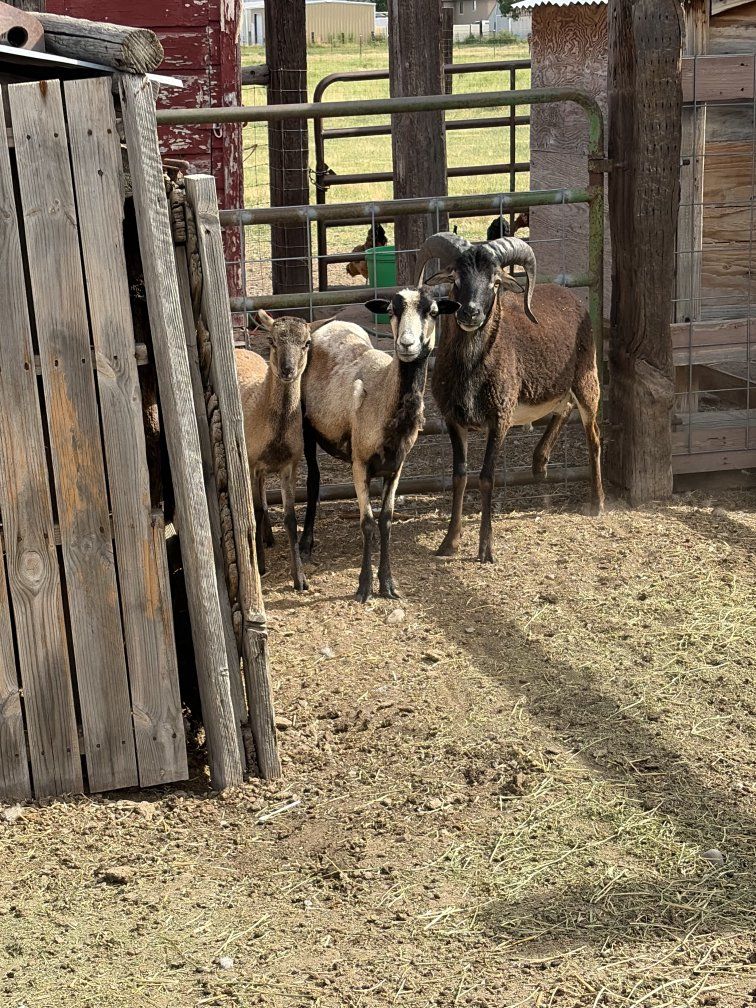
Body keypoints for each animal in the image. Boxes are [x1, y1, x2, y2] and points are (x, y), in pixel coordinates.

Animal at [236, 310, 311, 591]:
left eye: (306, 343)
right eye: (272, 340)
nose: (287, 370)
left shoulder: (290, 464)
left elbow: (290, 519)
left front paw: (300, 578)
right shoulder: (250, 461)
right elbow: (254, 512)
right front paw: (260, 565)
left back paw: (268, 537)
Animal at [299, 289, 459, 602]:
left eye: (433, 312)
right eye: (391, 311)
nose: (406, 344)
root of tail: (332, 323)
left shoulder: (397, 467)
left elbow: (385, 520)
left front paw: (387, 584)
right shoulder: (359, 462)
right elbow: (367, 522)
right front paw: (363, 587)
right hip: (306, 428)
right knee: (313, 481)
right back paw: (306, 543)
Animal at [415, 231, 604, 564]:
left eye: (495, 282)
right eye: (456, 277)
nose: (470, 312)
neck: (471, 371)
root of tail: (572, 299)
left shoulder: (499, 419)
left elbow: (486, 478)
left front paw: (485, 550)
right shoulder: (453, 420)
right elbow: (459, 476)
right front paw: (449, 543)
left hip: (586, 380)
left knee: (593, 435)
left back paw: (597, 503)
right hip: (555, 388)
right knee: (564, 407)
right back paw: (539, 464)